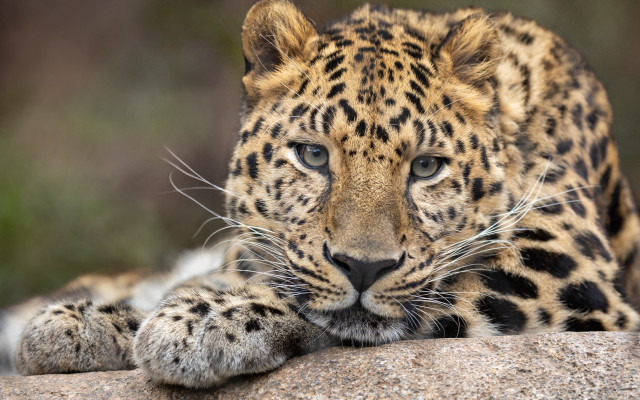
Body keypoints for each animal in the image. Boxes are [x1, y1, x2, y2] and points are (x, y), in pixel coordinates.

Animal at [1, 0, 640, 388]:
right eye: (313, 156)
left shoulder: (565, 267)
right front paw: (90, 321)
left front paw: (198, 322)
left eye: (426, 167)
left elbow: (411, 298)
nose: (363, 266)